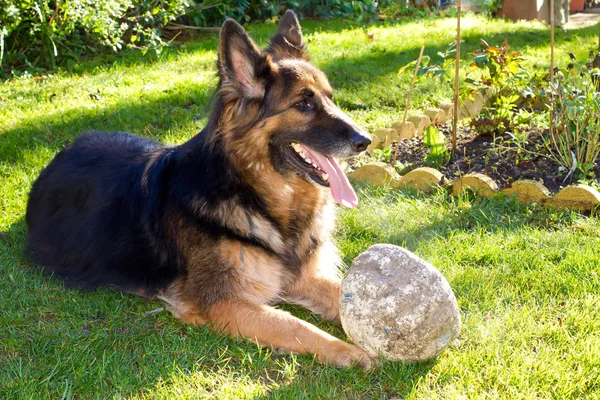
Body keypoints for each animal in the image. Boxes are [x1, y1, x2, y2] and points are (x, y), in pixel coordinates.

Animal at [28, 10, 378, 368]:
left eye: (330, 98)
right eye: (303, 104)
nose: (366, 140)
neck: (256, 194)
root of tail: (61, 154)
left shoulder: (300, 276)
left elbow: (340, 292)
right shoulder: (222, 302)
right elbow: (294, 326)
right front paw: (349, 351)